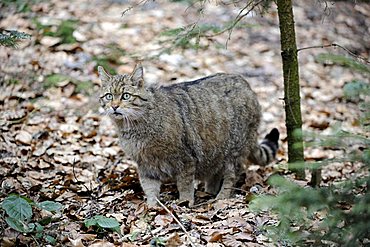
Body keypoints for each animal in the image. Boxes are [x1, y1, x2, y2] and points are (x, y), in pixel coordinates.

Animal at [97, 64, 278, 206]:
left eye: (126, 96)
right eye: (109, 96)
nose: (114, 106)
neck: (134, 128)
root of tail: (246, 85)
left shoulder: (185, 159)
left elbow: (184, 185)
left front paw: (184, 202)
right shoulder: (145, 164)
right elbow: (150, 188)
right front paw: (152, 207)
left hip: (234, 150)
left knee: (231, 176)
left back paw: (221, 197)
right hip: (216, 152)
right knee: (215, 175)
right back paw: (209, 192)